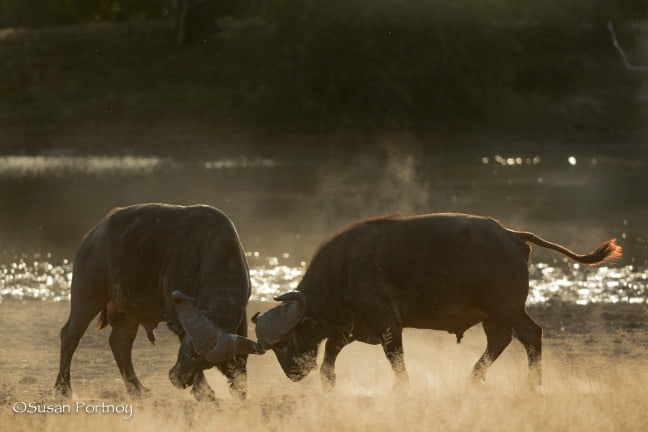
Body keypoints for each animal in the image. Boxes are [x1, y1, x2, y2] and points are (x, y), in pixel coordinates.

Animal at [53, 204, 264, 400]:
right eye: (187, 351)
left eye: (206, 363)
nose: (177, 379)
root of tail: (93, 235)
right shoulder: (178, 317)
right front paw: (204, 393)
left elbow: (241, 361)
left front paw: (240, 390)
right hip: (87, 296)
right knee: (70, 335)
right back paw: (63, 389)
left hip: (128, 310)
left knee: (119, 343)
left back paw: (138, 389)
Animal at [251, 213, 620, 388]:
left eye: (284, 343)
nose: (293, 375)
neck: (341, 272)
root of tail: (512, 235)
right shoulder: (353, 328)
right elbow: (330, 359)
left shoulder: (386, 322)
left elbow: (396, 360)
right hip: (493, 314)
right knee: (500, 341)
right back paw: (473, 379)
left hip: (507, 307)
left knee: (531, 335)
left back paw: (532, 385)